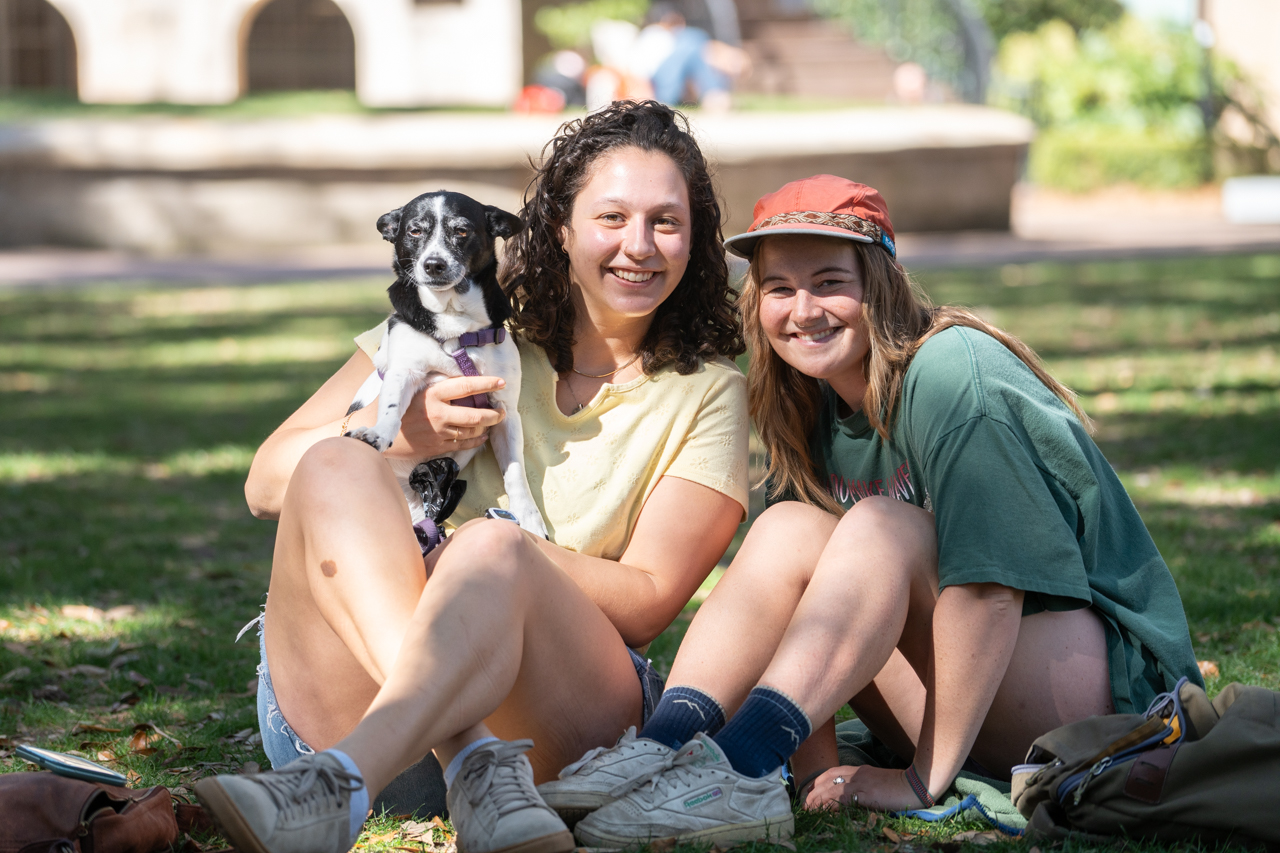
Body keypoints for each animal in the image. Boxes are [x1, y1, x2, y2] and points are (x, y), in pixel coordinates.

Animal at [348, 189, 547, 540]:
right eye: (415, 231)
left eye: (462, 231)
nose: (433, 264)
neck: (456, 329)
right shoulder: (403, 373)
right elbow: (391, 410)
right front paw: (378, 433)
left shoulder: (505, 412)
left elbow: (516, 473)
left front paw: (530, 517)